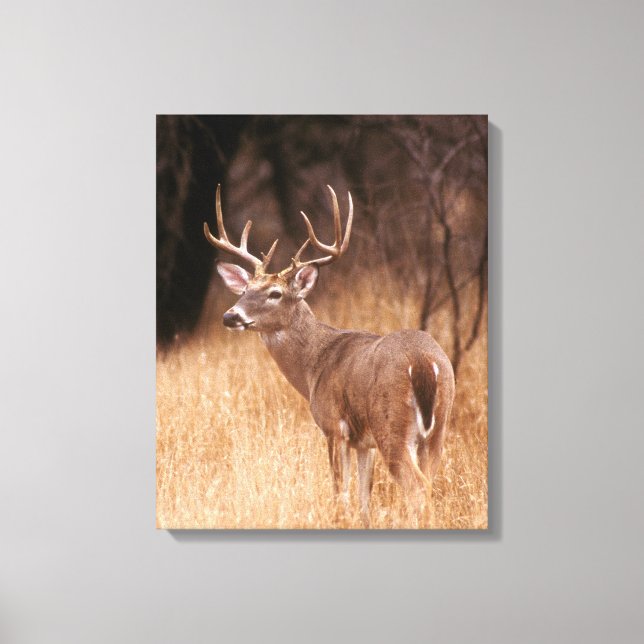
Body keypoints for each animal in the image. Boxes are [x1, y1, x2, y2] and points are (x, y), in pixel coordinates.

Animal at [204, 184, 455, 527]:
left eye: (275, 293)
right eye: (244, 291)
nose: (231, 316)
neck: (315, 365)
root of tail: (423, 362)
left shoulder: (333, 426)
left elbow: (341, 494)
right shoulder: (363, 443)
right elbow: (364, 499)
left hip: (392, 426)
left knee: (417, 490)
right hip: (438, 428)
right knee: (428, 487)